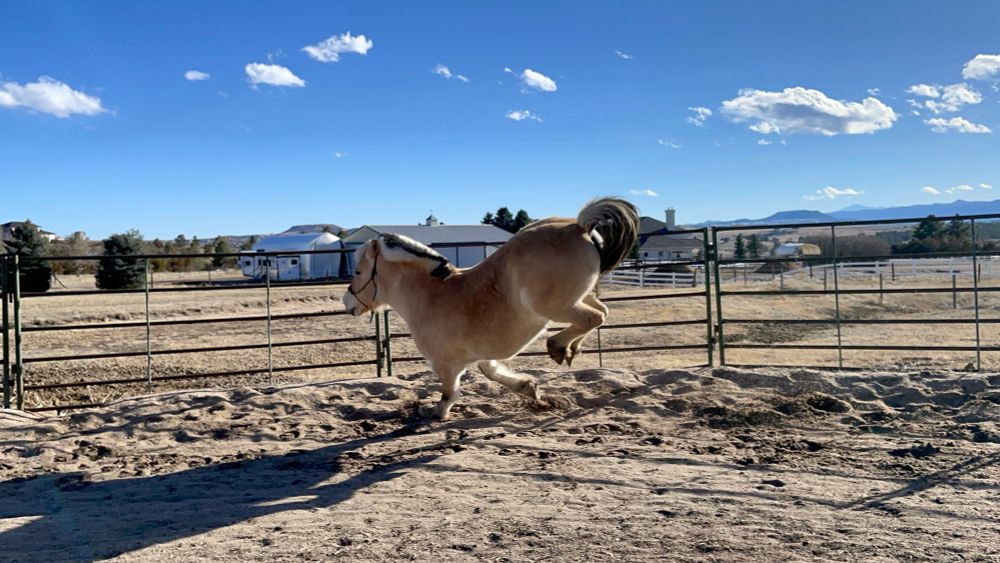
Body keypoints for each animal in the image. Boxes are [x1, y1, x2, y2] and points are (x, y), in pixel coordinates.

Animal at [343, 197, 639, 419]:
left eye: (358, 271)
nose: (347, 302)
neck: (429, 294)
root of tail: (578, 226)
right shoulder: (480, 354)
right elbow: (492, 372)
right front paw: (529, 388)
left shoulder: (446, 363)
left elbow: (449, 393)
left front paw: (436, 413)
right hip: (579, 296)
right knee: (601, 313)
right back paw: (571, 349)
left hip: (555, 306)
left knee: (593, 318)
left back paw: (558, 346)